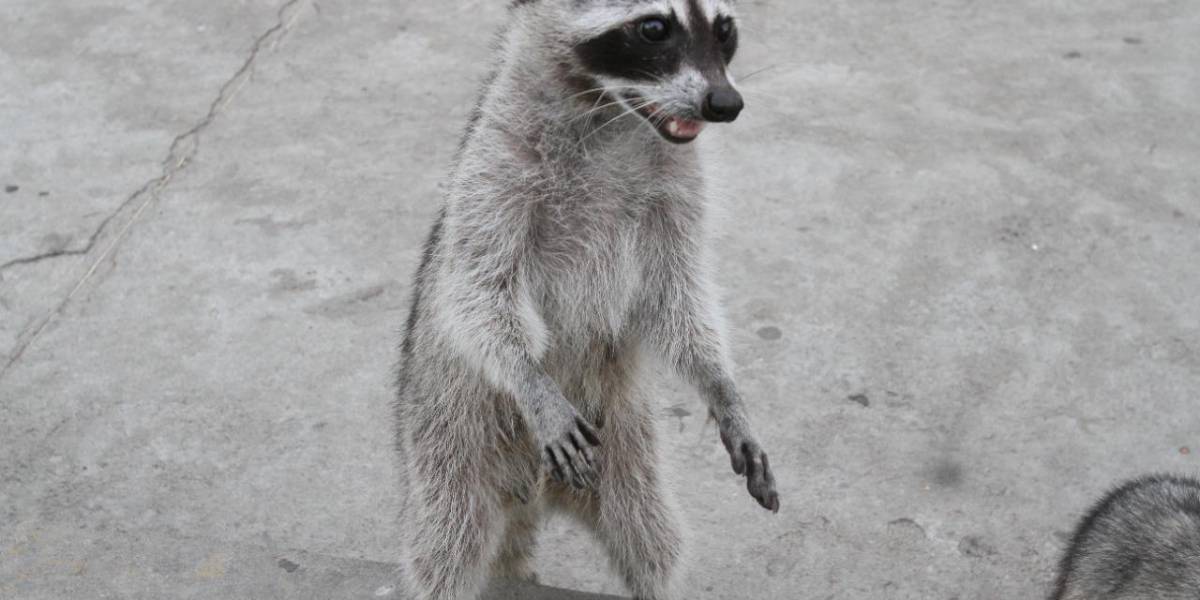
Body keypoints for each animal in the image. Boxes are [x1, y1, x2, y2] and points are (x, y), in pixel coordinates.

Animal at [391, 1, 778, 599]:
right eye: (654, 28)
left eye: (724, 28)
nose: (726, 103)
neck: (611, 113)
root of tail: (530, 497)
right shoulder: (494, 165)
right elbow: (478, 288)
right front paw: (530, 377)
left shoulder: (679, 188)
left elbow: (678, 296)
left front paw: (722, 387)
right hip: (447, 435)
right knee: (446, 541)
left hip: (626, 447)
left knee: (650, 534)